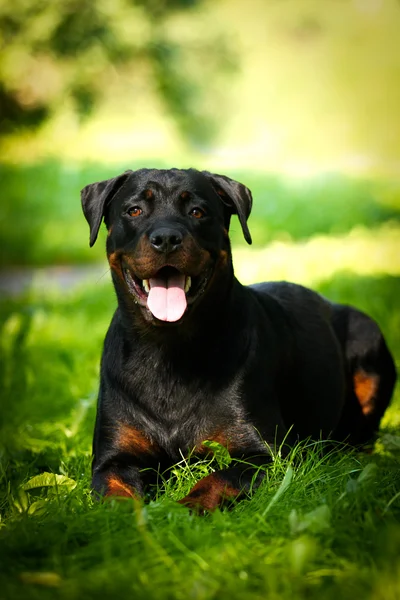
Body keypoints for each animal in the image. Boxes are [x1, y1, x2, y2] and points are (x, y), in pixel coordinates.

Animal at [81, 169, 396, 510]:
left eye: (197, 211)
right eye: (134, 210)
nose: (166, 238)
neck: (169, 350)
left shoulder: (264, 454)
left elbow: (218, 479)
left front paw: (185, 509)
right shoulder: (114, 457)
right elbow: (116, 495)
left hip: (367, 336)